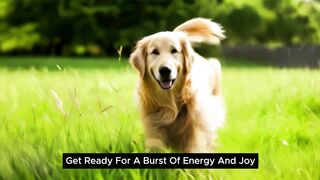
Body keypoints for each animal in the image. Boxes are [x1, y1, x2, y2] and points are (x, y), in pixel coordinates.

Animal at [129, 17, 225, 153]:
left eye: (174, 50)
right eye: (154, 52)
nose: (165, 70)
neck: (170, 100)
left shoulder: (196, 123)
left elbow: (195, 143)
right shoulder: (153, 123)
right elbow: (156, 143)